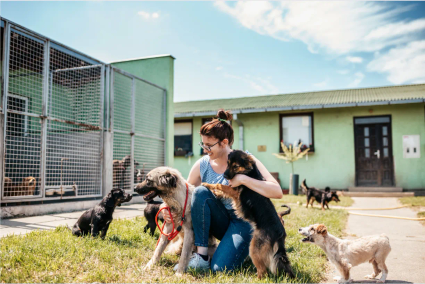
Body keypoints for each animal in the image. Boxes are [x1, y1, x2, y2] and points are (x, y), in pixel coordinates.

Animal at [200, 151, 294, 280]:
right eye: (228, 164)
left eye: (235, 166)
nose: (224, 175)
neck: (249, 172)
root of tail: (280, 234)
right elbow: (222, 189)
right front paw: (215, 192)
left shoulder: (235, 191)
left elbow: (220, 185)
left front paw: (207, 184)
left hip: (254, 248)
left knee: (263, 271)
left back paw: (256, 279)